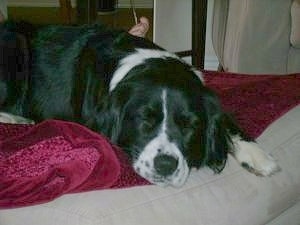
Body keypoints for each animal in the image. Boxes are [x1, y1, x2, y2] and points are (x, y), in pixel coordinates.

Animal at [0, 21, 278, 186]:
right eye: (145, 119)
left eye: (190, 125)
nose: (165, 166)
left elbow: (226, 120)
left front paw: (258, 156)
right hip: (17, 45)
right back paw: (17, 119)